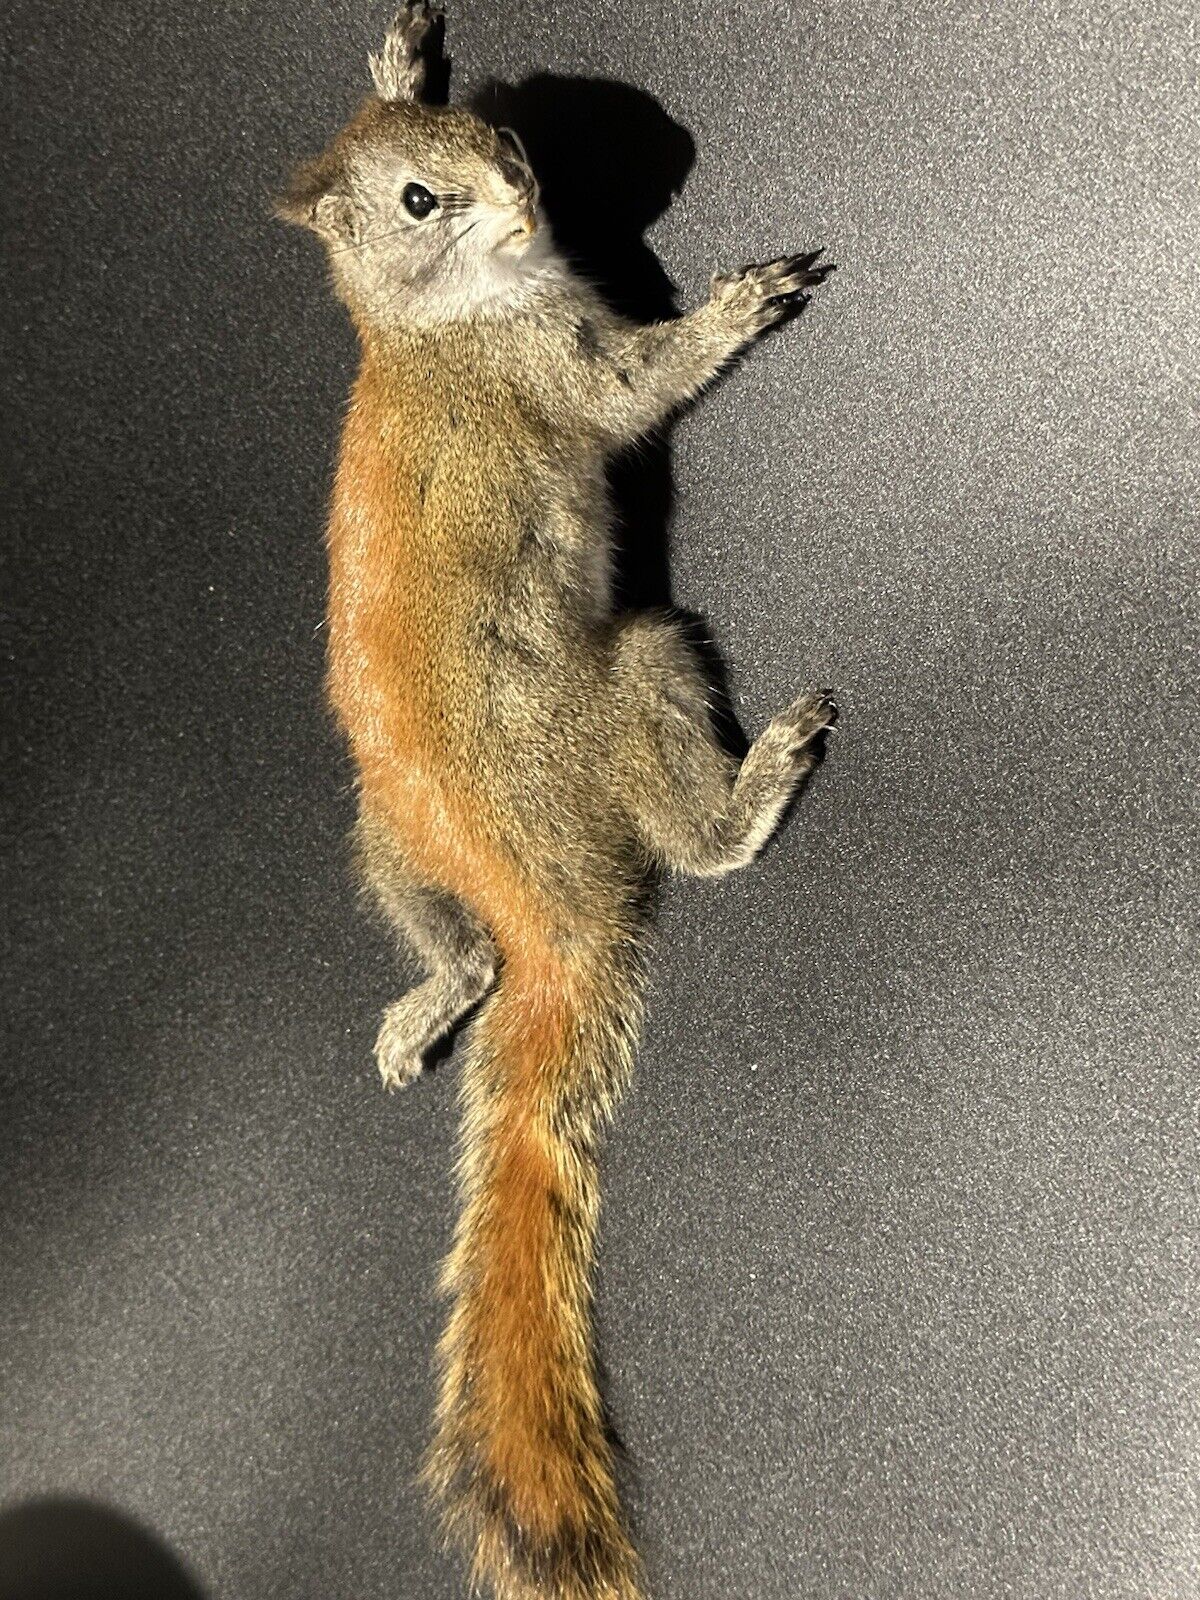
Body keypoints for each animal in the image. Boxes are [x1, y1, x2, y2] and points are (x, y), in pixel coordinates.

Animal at [276, 6, 836, 1598]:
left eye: (500, 137)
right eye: (420, 202)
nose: (528, 192)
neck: (427, 323)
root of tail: (542, 916)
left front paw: (401, 47)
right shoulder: (554, 369)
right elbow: (638, 391)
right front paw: (735, 309)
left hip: (382, 844)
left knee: (450, 940)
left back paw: (437, 994)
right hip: (636, 678)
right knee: (692, 847)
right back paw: (751, 790)